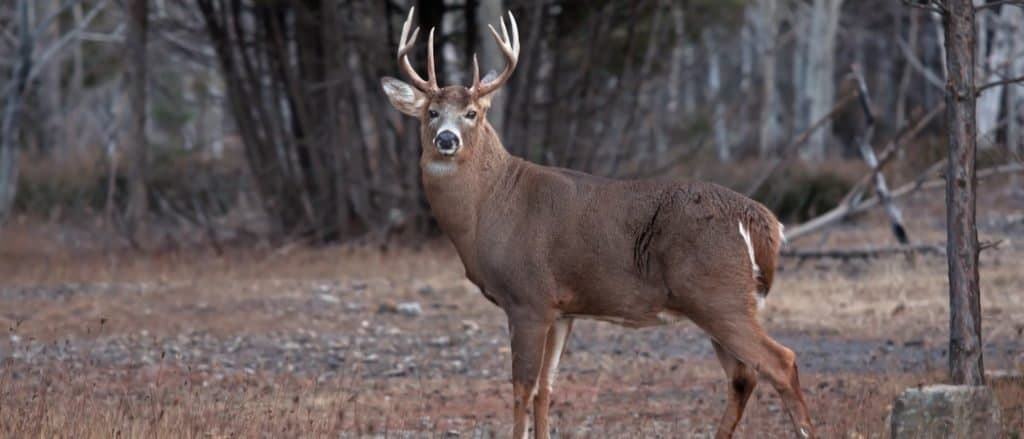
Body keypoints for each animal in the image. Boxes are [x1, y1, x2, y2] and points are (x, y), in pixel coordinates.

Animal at [380, 7, 811, 437]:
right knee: (743, 376)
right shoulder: (562, 310)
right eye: (431, 112)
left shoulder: (528, 298)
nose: (447, 139)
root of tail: (762, 221)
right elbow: (546, 388)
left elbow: (522, 387)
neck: (489, 207)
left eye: (472, 113)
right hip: (720, 302)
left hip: (719, 296)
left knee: (781, 363)